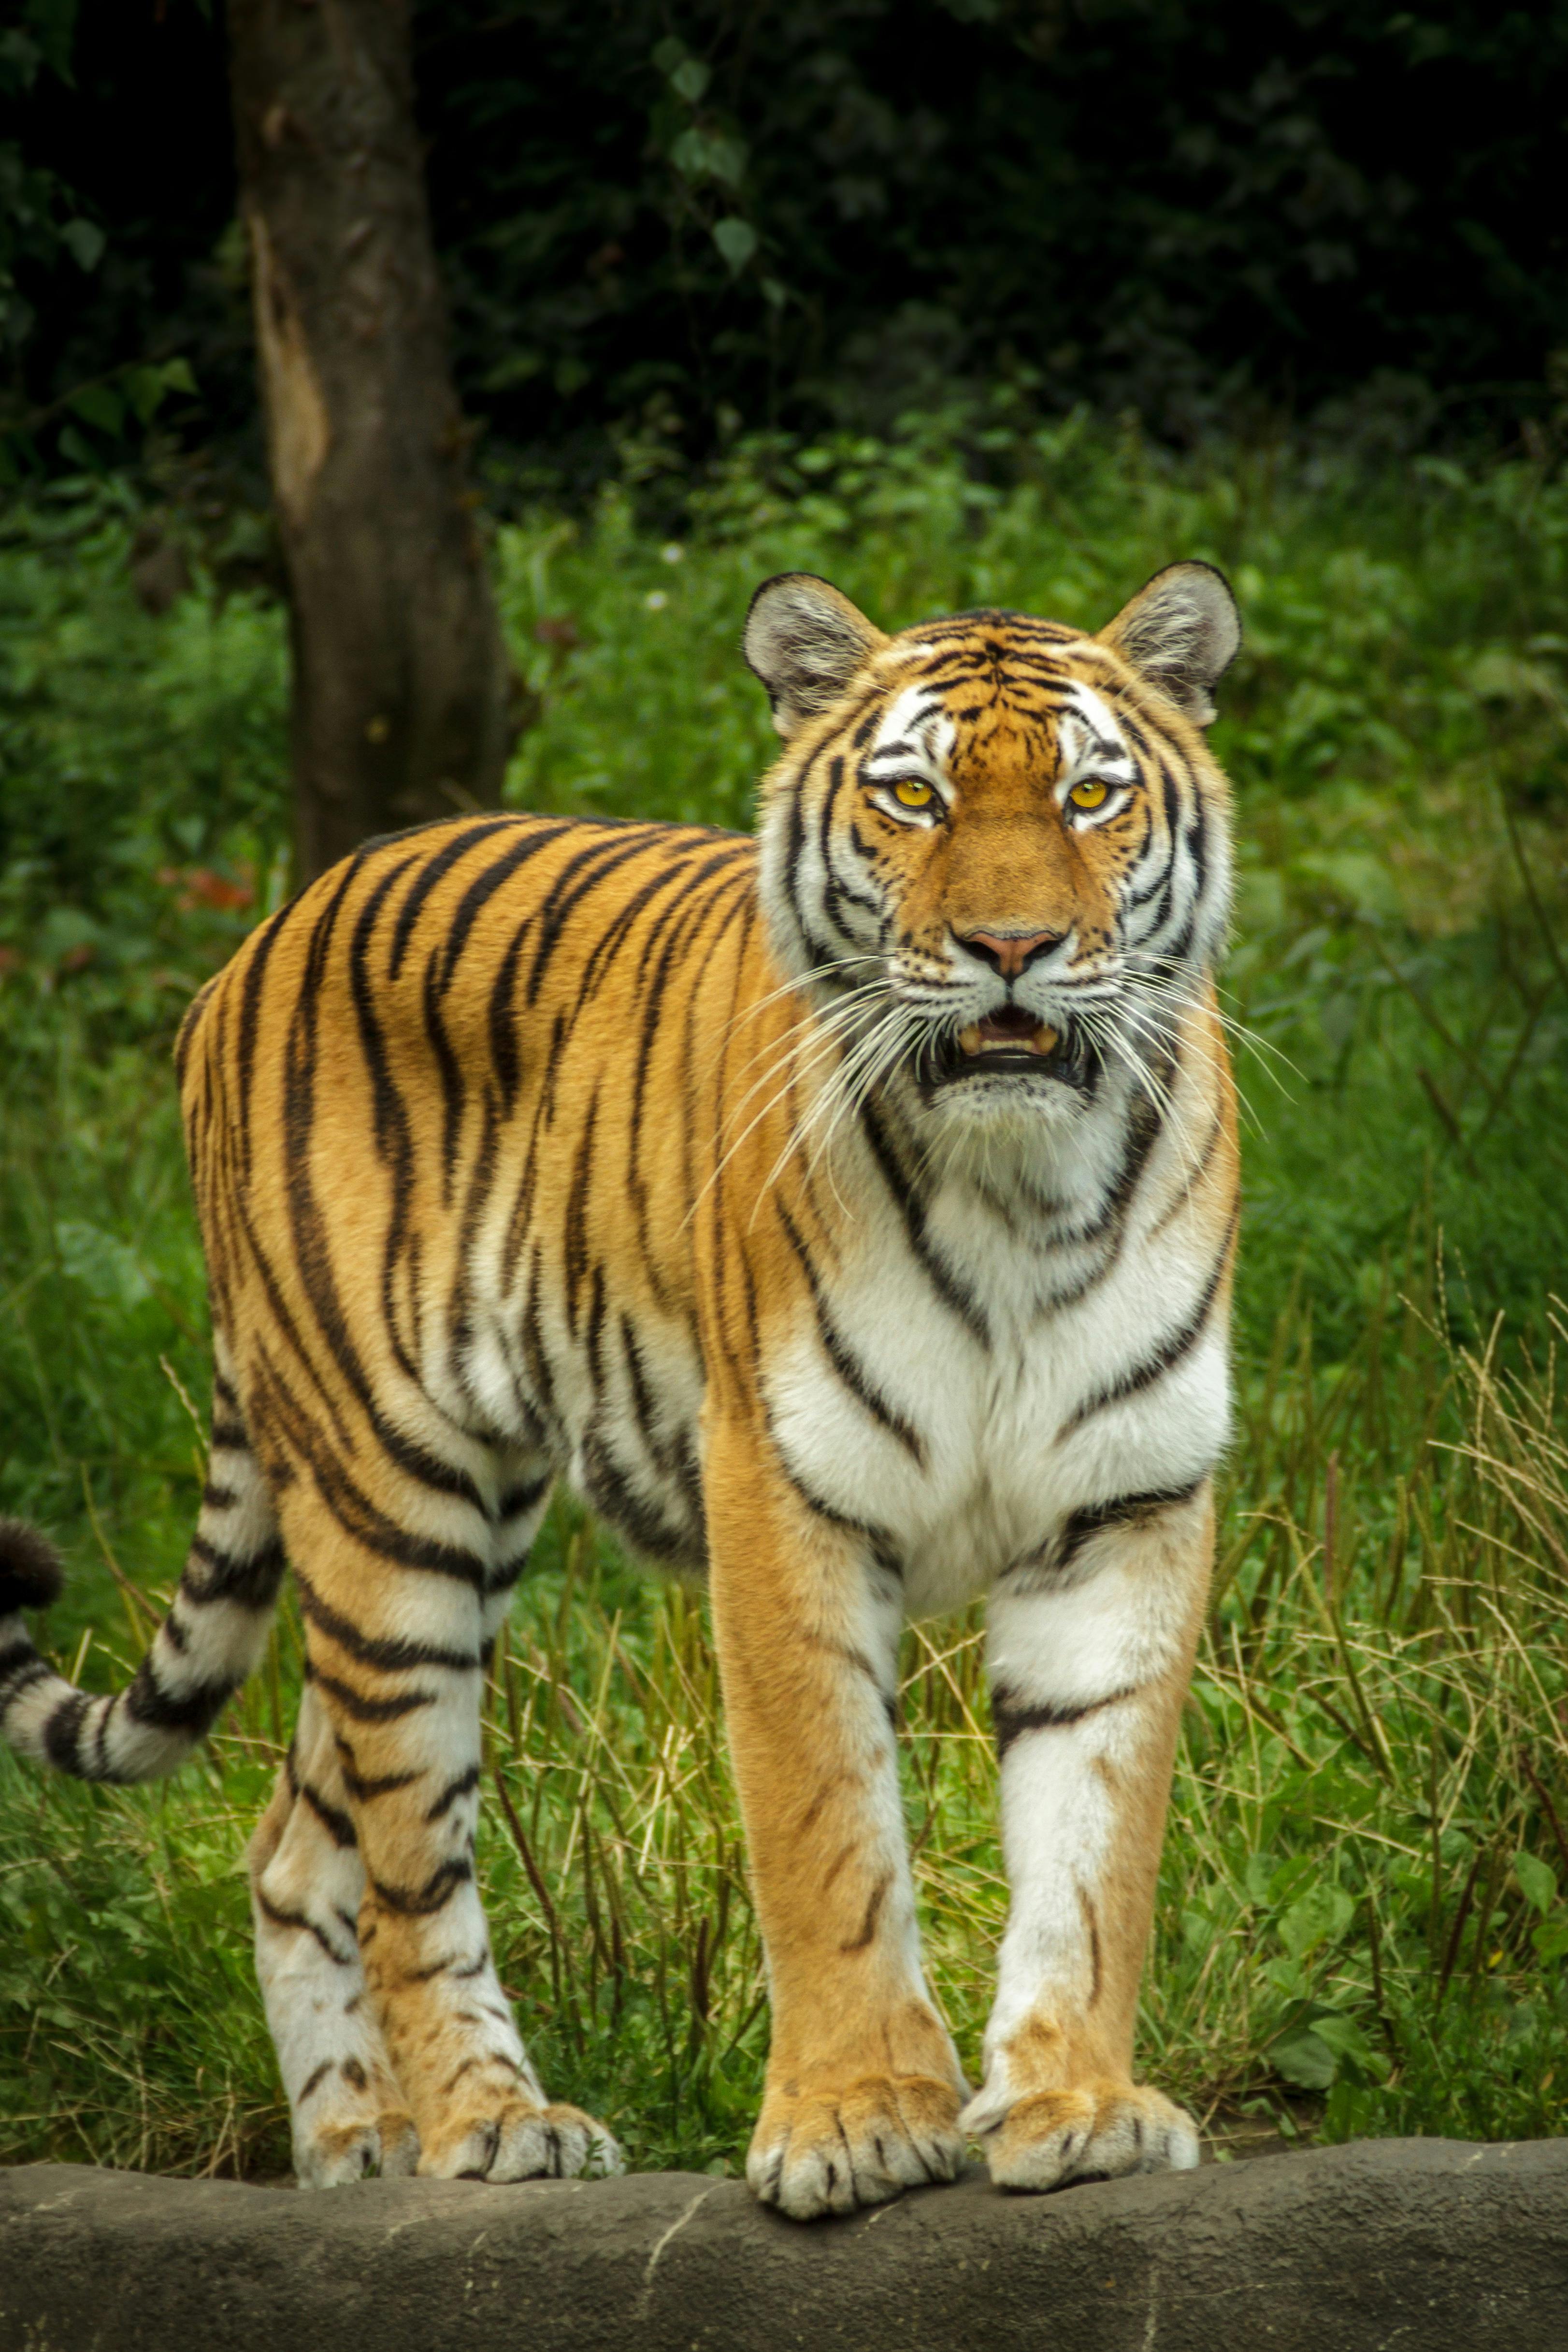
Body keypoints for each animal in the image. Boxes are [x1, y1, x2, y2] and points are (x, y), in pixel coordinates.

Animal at [3, 560, 1251, 2210]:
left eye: (1088, 794)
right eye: (911, 796)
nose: (1009, 945)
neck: (1018, 1185)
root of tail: (267, 930)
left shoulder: (1123, 1505)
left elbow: (1095, 1845)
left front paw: (1077, 2103)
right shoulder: (780, 1491)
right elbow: (824, 1831)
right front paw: (853, 2119)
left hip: (423, 1537)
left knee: (295, 1843)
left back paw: (355, 2141)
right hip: (390, 1504)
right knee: (406, 1857)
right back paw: (488, 2123)